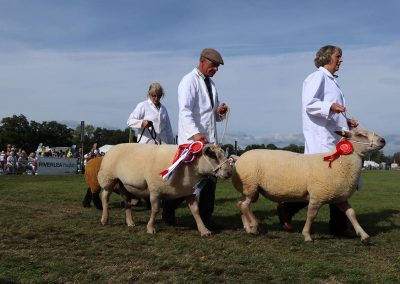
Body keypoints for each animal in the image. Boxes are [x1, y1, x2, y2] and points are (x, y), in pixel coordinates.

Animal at [97, 143, 233, 236]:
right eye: (213, 156)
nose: (229, 172)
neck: (190, 166)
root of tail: (113, 147)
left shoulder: (190, 192)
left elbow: (196, 211)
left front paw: (204, 230)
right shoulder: (155, 190)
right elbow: (155, 210)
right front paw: (150, 228)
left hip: (124, 184)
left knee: (126, 202)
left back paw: (130, 222)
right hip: (109, 178)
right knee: (105, 197)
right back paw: (104, 219)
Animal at [231, 127, 384, 243]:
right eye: (360, 134)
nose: (383, 140)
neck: (339, 164)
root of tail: (239, 158)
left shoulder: (340, 197)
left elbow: (351, 214)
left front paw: (364, 235)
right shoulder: (317, 195)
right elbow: (311, 215)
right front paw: (307, 236)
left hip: (249, 189)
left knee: (241, 204)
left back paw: (248, 227)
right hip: (250, 185)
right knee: (244, 205)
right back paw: (254, 226)